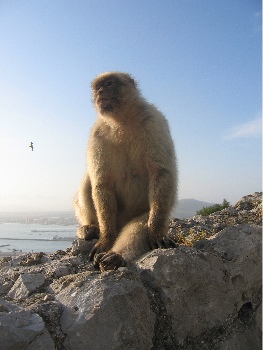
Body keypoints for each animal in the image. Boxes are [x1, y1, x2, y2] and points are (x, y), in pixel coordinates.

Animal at [73, 72, 177, 270]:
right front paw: (106, 239)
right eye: (97, 87)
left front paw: (156, 232)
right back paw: (91, 227)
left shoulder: (153, 120)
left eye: (109, 84)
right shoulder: (97, 134)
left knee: (138, 226)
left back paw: (115, 256)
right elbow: (102, 183)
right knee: (89, 179)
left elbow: (160, 172)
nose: (99, 92)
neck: (122, 121)